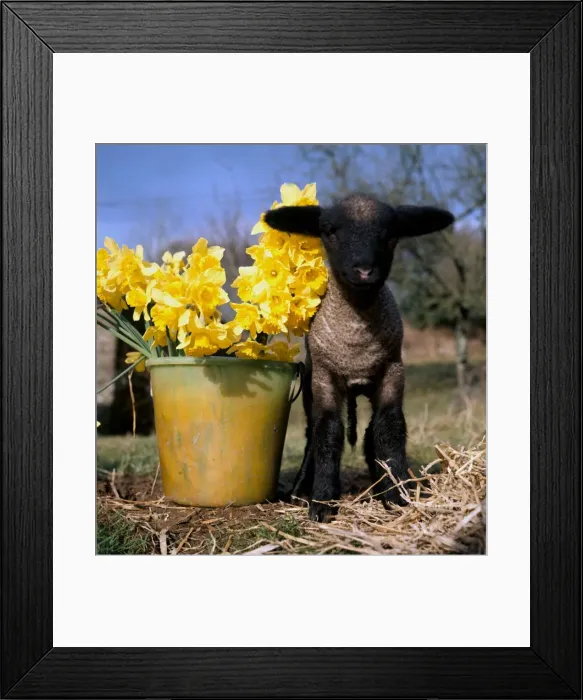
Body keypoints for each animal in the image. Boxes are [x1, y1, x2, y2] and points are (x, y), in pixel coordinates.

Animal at [263, 194, 454, 522]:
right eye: (329, 230)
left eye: (391, 233)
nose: (364, 270)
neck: (357, 342)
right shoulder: (325, 378)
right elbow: (328, 432)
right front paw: (322, 502)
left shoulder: (392, 371)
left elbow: (388, 429)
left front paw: (397, 492)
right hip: (310, 385)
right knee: (312, 433)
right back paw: (303, 485)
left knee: (368, 434)